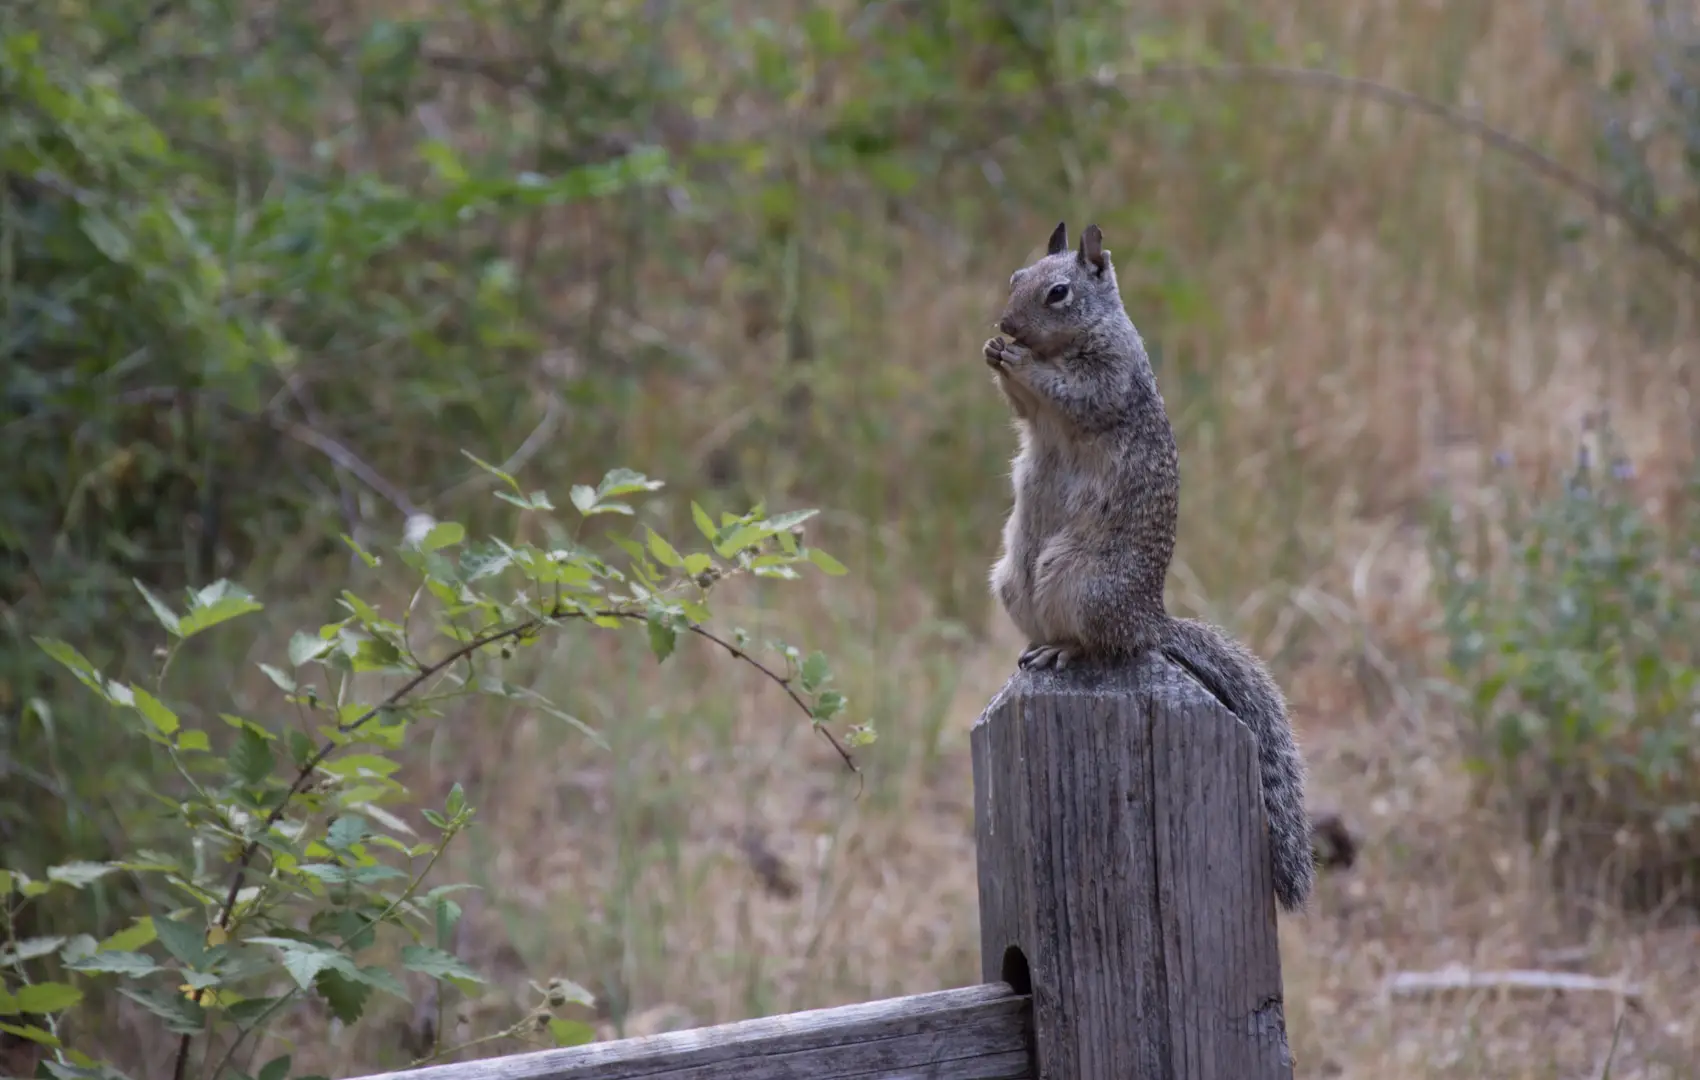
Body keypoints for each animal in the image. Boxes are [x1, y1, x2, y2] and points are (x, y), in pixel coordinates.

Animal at [986, 224, 1312, 918]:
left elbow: (1074, 393)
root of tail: (1150, 618)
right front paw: (994, 351)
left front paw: (1018, 359)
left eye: (1059, 292)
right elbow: (1025, 411)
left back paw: (1065, 651)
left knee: (1104, 647)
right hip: (1014, 580)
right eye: (1015, 277)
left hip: (1082, 583)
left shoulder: (1111, 378)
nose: (1005, 323)